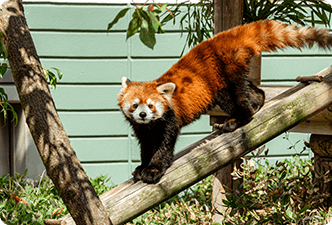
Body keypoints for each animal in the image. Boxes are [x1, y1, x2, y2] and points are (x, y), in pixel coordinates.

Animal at [116, 20, 332, 184]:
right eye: (135, 105)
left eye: (151, 105)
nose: (142, 114)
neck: (151, 125)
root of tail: (224, 38)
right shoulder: (142, 130)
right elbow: (146, 147)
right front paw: (141, 167)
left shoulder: (169, 120)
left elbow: (164, 147)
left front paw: (153, 170)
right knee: (255, 91)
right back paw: (257, 103)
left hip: (225, 76)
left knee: (238, 100)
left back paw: (237, 120)